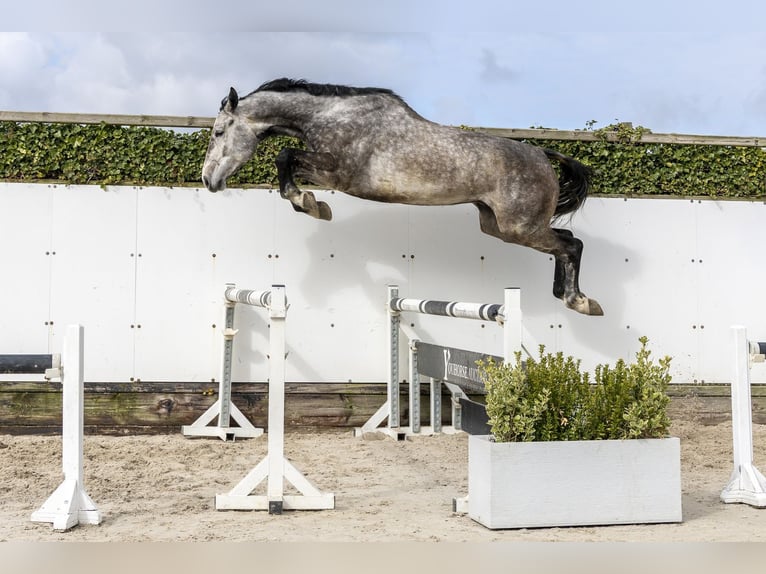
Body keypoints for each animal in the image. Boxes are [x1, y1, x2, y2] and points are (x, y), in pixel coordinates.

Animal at [201, 78, 603, 316]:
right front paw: (312, 204)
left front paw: (312, 205)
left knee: (572, 244)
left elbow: (286, 158)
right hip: (499, 227)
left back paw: (581, 301)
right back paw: (564, 295)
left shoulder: (338, 172)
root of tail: (543, 155)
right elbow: (287, 162)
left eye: (219, 132)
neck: (331, 116)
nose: (208, 180)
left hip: (520, 227)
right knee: (565, 241)